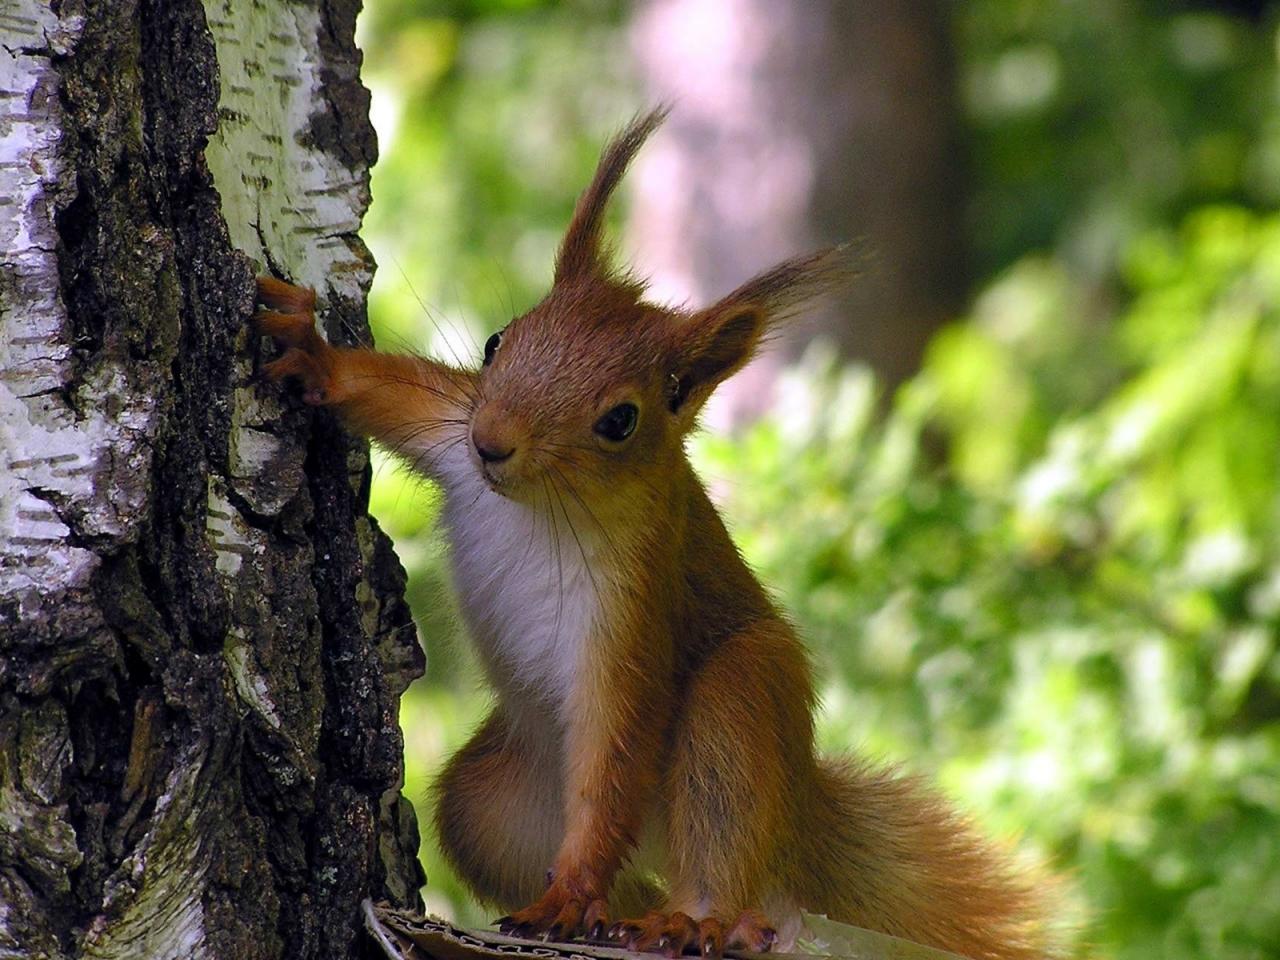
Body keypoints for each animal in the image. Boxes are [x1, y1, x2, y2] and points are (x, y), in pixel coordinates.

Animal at [254, 108, 1054, 960]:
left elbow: (617, 746)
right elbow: (392, 393)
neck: (539, 505)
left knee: (721, 848)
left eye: (619, 421)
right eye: (499, 341)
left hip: (741, 704)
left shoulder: (635, 602)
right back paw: (615, 916)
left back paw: (691, 918)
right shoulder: (450, 430)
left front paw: (569, 893)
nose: (493, 443)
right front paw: (313, 355)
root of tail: (798, 819)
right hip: (492, 805)